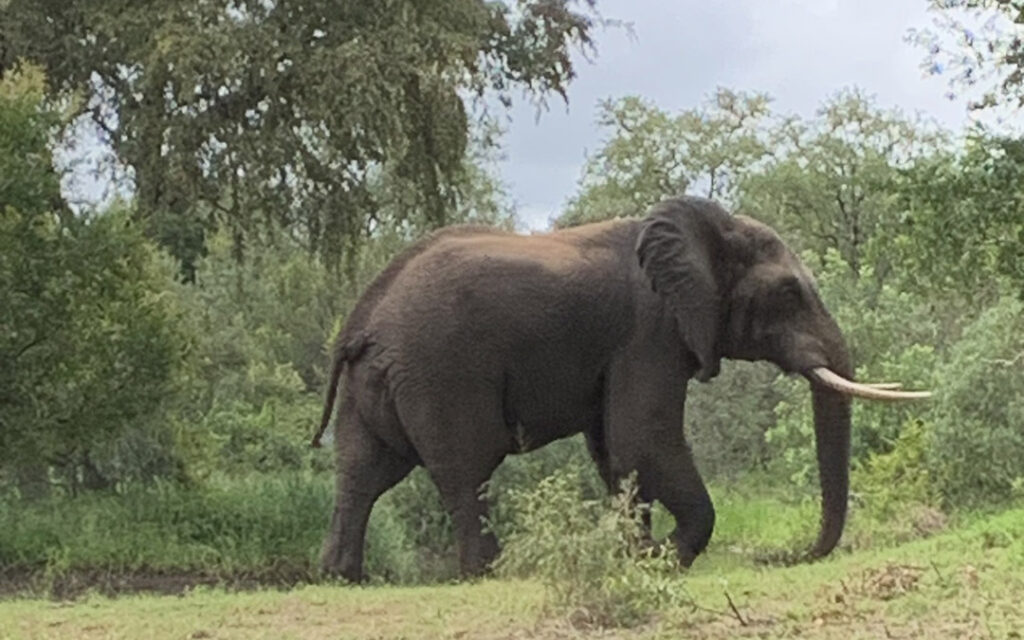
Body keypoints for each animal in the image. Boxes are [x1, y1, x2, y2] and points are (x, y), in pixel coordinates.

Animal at [311, 195, 929, 583]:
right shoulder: (651, 329)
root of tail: (361, 324)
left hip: (378, 385)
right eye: (790, 294)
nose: (782, 557)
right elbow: (643, 439)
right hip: (441, 373)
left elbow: (615, 452)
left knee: (362, 473)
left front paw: (636, 555)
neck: (705, 229)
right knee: (466, 472)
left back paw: (343, 578)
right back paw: (486, 573)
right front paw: (663, 557)